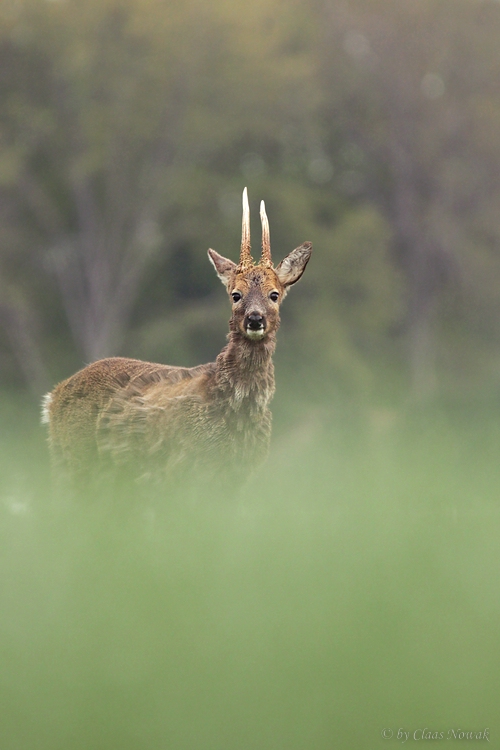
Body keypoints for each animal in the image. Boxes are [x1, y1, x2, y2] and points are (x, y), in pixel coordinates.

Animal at [42, 189, 312, 488]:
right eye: (235, 294)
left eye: (274, 294)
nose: (255, 319)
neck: (236, 409)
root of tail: (52, 398)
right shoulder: (185, 467)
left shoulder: (240, 473)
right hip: (73, 461)